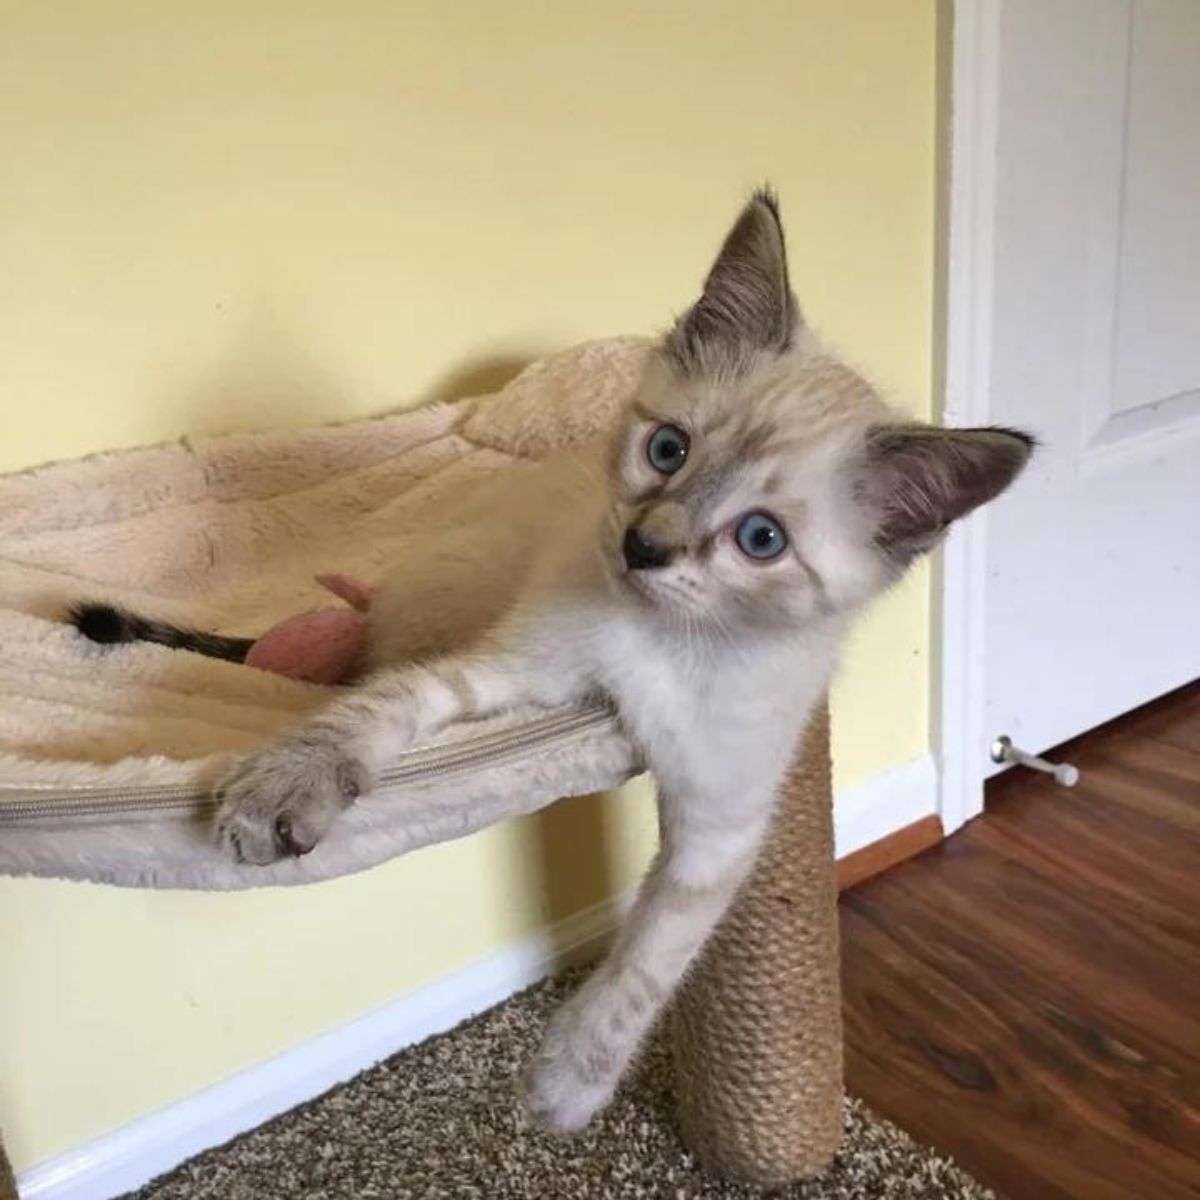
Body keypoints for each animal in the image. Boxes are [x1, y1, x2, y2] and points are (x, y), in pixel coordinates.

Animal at [75, 192, 1036, 1128]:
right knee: (365, 659)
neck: (668, 643)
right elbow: (384, 705)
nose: (646, 546)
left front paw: (572, 1082)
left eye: (761, 540)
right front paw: (292, 781)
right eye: (667, 449)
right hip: (445, 594)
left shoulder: (724, 820)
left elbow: (652, 953)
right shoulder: (507, 674)